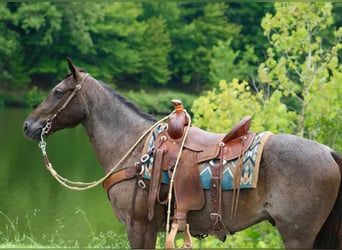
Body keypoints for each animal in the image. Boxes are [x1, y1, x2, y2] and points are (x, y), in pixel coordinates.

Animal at [23, 59, 342, 248]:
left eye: (58, 92)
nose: (28, 125)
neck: (134, 148)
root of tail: (328, 152)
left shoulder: (138, 226)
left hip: (298, 235)